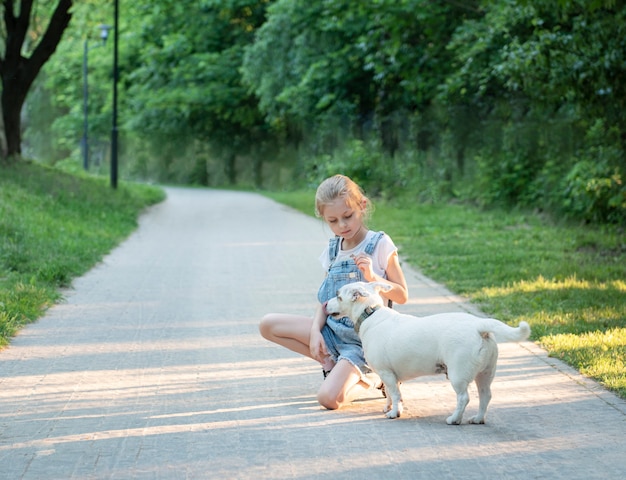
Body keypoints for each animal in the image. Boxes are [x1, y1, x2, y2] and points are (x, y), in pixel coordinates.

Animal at [324, 282, 528, 424]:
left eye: (338, 296)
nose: (325, 304)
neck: (370, 314)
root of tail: (480, 326)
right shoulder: (388, 376)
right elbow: (390, 393)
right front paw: (388, 407)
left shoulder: (387, 373)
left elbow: (395, 395)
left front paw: (394, 413)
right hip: (485, 374)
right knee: (485, 396)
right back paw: (478, 419)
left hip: (458, 375)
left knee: (464, 398)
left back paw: (454, 419)